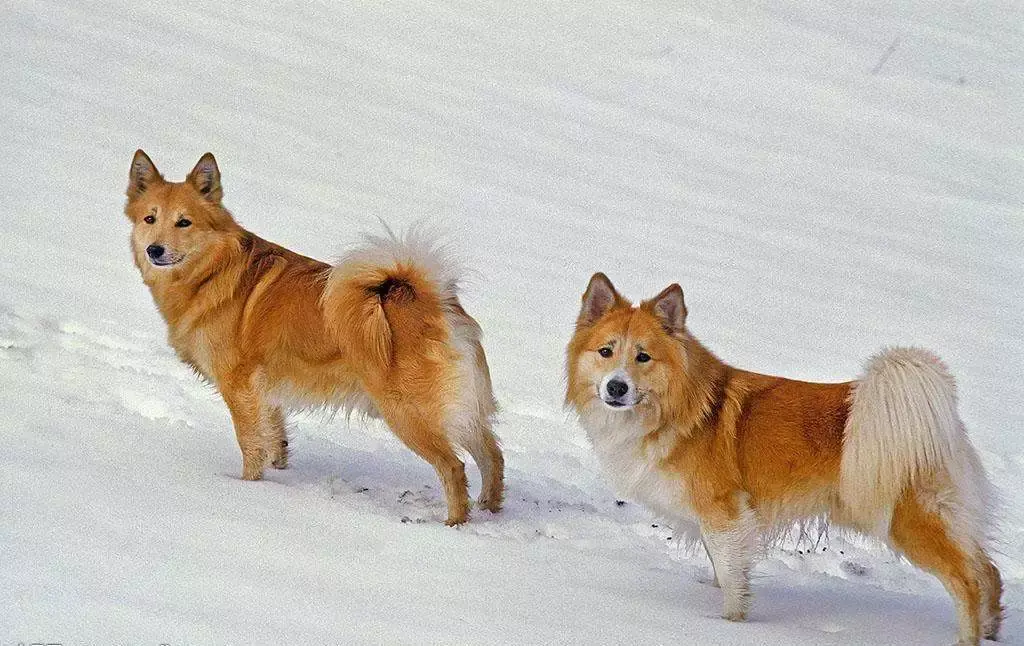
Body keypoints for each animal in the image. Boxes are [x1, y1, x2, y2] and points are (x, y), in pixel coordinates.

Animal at [123, 149, 503, 524]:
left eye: (184, 222)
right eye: (150, 219)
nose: (155, 250)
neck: (214, 272)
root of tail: (433, 302)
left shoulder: (239, 388)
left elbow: (250, 445)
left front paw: (247, 488)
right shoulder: (266, 392)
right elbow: (274, 438)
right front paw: (277, 470)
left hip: (409, 413)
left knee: (454, 467)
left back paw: (455, 523)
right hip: (459, 410)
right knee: (492, 454)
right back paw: (490, 507)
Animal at [565, 272, 1003, 642]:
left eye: (643, 357)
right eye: (606, 352)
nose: (616, 387)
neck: (678, 410)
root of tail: (936, 418)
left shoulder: (725, 515)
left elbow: (731, 579)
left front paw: (729, 625)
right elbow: (724, 570)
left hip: (909, 520)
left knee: (968, 580)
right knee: (989, 571)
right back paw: (992, 632)